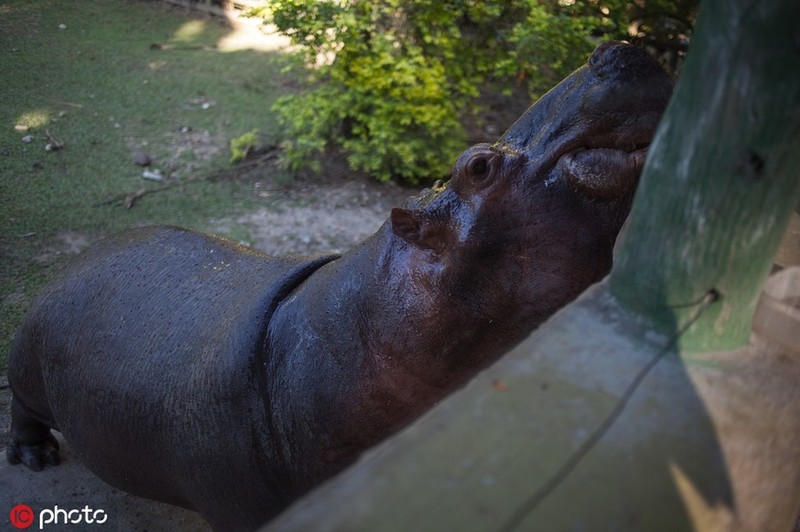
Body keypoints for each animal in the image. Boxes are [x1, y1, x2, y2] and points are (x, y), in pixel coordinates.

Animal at [6, 42, 668, 532]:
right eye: (478, 166)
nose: (619, 47)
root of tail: (78, 258)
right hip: (28, 371)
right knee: (22, 407)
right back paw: (33, 458)